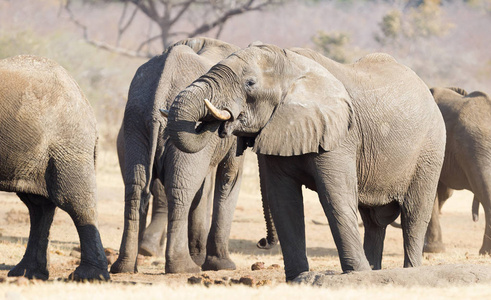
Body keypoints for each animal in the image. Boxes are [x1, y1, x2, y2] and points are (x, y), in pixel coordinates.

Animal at [112, 36, 250, 274]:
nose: (210, 121)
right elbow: (229, 177)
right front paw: (222, 266)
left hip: (134, 121)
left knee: (136, 189)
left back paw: (124, 267)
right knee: (181, 190)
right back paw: (184, 268)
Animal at [167, 44, 448, 282]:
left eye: (250, 83)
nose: (262, 242)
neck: (292, 64)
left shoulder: (340, 134)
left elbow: (335, 198)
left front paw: (354, 274)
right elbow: (283, 201)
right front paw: (298, 278)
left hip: (430, 150)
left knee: (414, 214)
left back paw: (407, 271)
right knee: (373, 221)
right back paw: (374, 271)